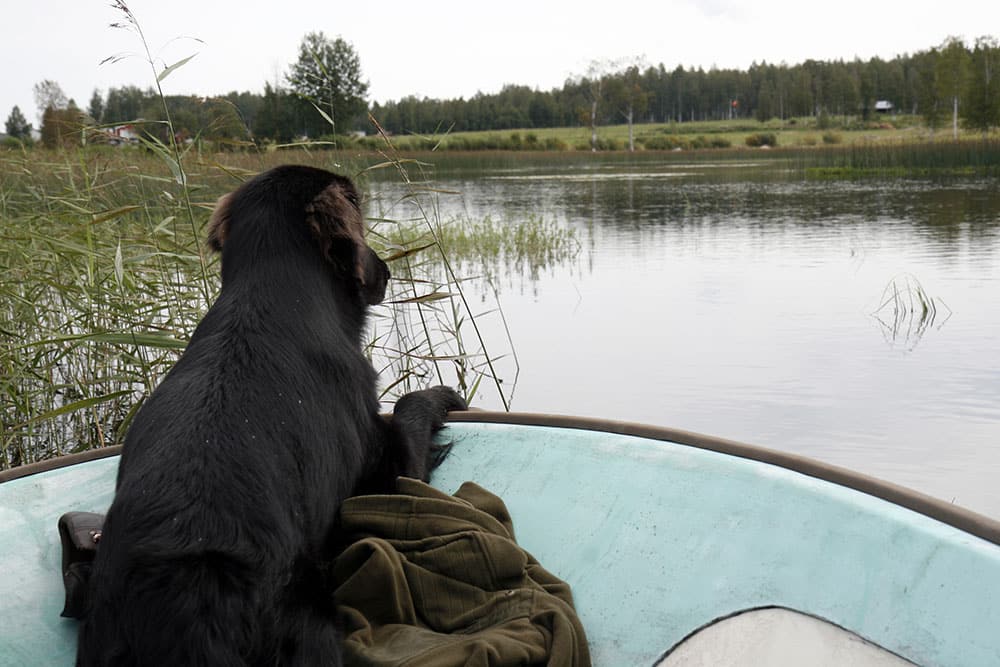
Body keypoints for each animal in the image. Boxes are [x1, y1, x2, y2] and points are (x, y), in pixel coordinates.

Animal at [77, 164, 464, 664]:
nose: (385, 271)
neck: (271, 295)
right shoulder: (383, 478)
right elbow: (405, 409)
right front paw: (442, 396)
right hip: (314, 623)